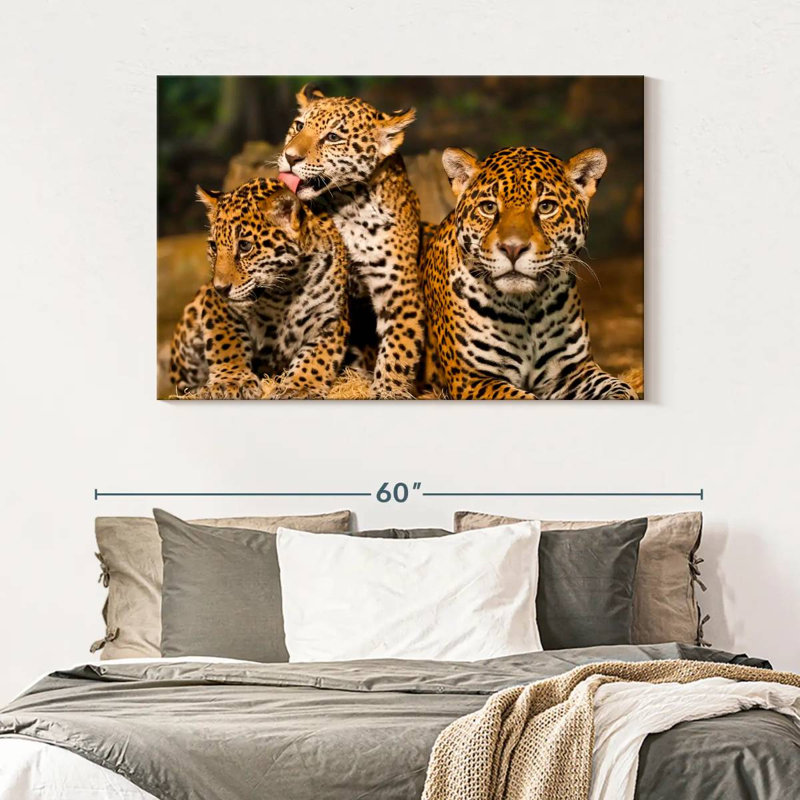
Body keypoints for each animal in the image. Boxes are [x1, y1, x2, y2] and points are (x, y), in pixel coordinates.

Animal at [169, 177, 349, 399]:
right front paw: (231, 381)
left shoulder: (331, 319)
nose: (220, 288)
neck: (285, 290)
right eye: (214, 247)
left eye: (245, 246)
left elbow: (317, 358)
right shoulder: (217, 306)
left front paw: (300, 387)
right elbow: (226, 342)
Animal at [277, 84, 425, 399]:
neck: (348, 206)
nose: (290, 157)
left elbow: (400, 347)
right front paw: (298, 385)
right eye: (299, 126)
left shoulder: (400, 290)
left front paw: (388, 391)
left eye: (333, 137)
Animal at [421, 146, 638, 400]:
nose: (513, 248)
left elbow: (620, 388)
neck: (525, 308)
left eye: (546, 207)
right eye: (489, 207)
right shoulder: (472, 380)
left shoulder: (574, 370)